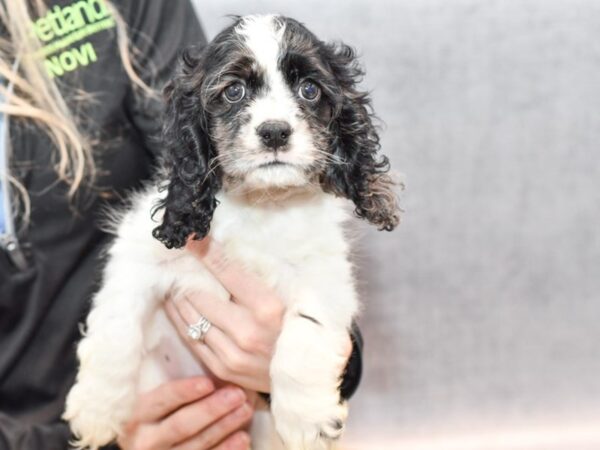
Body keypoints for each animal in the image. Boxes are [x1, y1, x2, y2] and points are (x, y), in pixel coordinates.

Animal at [64, 14, 398, 450]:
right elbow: (114, 328)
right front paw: (96, 409)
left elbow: (305, 334)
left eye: (309, 90)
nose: (274, 131)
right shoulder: (136, 258)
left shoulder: (325, 276)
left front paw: (306, 419)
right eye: (234, 91)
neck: (261, 204)